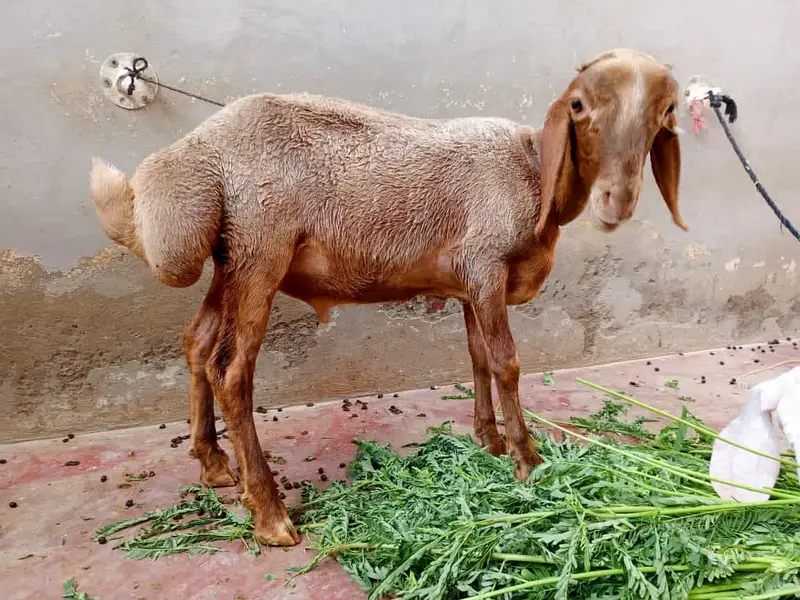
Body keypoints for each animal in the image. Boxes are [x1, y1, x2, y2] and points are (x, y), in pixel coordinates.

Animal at [89, 48, 685, 547]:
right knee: (231, 372)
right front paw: (528, 461)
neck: (535, 172)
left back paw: (213, 465)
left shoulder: (468, 283)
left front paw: (488, 442)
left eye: (664, 113)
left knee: (196, 343)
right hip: (261, 249)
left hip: (231, 259)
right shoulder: (486, 264)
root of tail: (200, 151)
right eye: (579, 106)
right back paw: (271, 515)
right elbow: (507, 363)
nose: (618, 200)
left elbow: (477, 359)